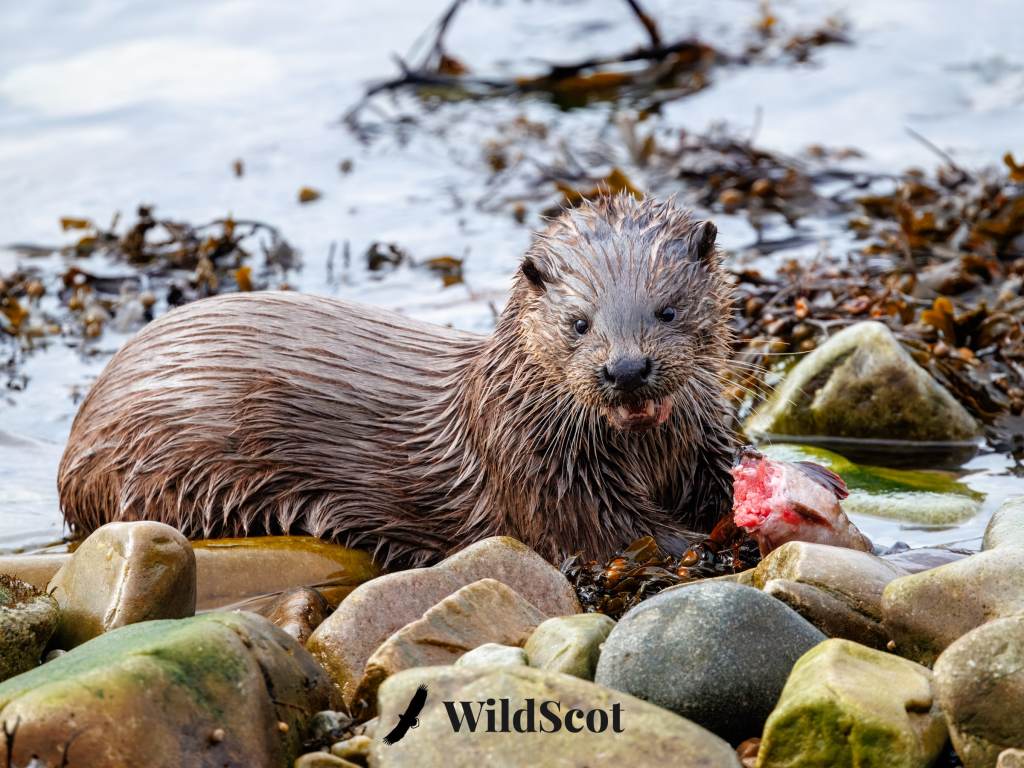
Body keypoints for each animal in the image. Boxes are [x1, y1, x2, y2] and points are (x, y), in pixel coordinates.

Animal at [58, 194, 736, 567]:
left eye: (667, 310)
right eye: (579, 322)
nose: (626, 368)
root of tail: (72, 451)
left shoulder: (705, 438)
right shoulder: (540, 473)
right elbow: (612, 534)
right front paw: (706, 546)